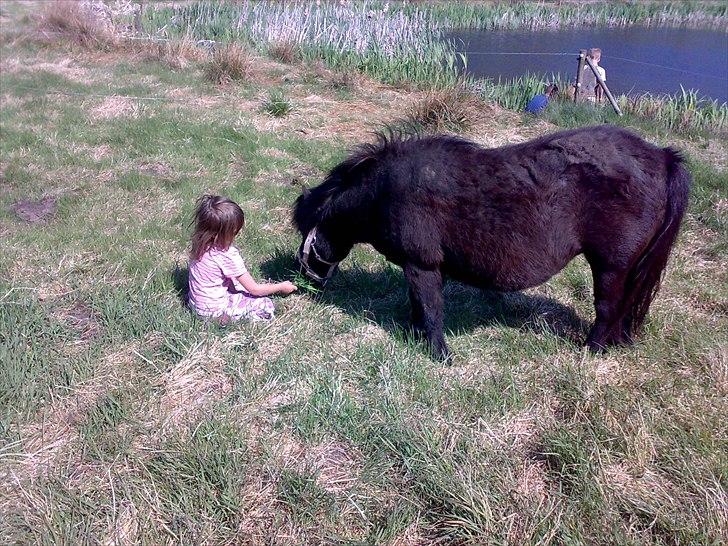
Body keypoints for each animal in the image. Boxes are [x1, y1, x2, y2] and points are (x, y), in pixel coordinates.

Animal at [292, 125, 688, 360]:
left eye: (306, 231)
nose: (305, 280)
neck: (385, 191)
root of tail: (662, 156)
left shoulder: (422, 265)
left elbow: (431, 309)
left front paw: (438, 354)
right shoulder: (416, 268)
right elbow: (419, 306)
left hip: (610, 266)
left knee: (608, 309)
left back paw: (591, 351)